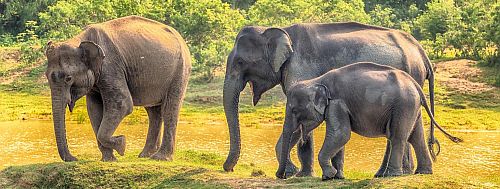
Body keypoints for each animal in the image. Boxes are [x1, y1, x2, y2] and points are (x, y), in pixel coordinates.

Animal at [44, 15, 191, 162]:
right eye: (46, 76)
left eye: (68, 78)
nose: (74, 158)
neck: (80, 39)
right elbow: (94, 109)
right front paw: (109, 159)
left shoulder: (110, 66)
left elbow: (122, 104)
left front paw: (122, 144)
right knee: (153, 112)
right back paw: (145, 155)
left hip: (180, 70)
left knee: (169, 109)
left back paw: (160, 158)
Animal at [223, 22, 438, 176]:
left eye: (240, 62)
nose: (229, 169)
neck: (278, 29)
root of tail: (421, 52)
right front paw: (299, 173)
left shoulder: (301, 67)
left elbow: (303, 125)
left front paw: (299, 174)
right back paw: (400, 172)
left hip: (410, 77)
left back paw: (391, 174)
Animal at [276, 62, 462, 180]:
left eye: (294, 110)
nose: (281, 176)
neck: (317, 80)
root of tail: (415, 83)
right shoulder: (337, 105)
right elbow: (340, 137)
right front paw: (337, 177)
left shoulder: (337, 103)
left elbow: (341, 135)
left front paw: (328, 175)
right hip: (411, 106)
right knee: (415, 137)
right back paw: (422, 173)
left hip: (403, 105)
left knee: (397, 137)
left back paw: (391, 175)